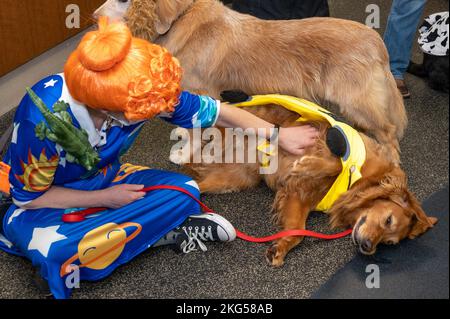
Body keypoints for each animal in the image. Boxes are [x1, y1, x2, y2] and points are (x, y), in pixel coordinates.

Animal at [95, 0, 408, 164]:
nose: (94, 16)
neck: (184, 19)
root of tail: (376, 41)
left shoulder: (204, 92)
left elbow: (198, 130)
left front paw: (186, 153)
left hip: (357, 101)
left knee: (389, 132)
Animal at [180, 102, 436, 268]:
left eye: (389, 242)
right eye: (388, 220)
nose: (367, 247)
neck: (359, 186)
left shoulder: (298, 196)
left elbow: (298, 233)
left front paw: (280, 248)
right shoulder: (328, 140)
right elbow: (336, 163)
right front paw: (307, 165)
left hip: (235, 178)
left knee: (195, 184)